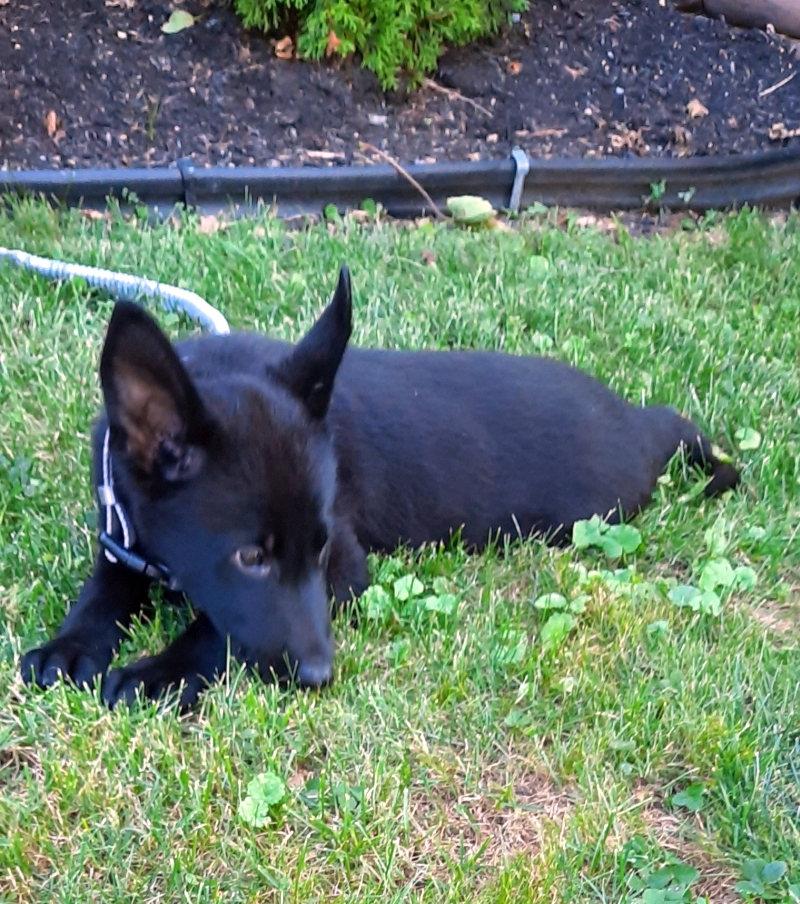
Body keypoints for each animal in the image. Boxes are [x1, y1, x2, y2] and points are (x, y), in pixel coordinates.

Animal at [20, 264, 736, 708]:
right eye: (250, 557)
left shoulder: (346, 568)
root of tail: (631, 415)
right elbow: (108, 583)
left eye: (320, 548)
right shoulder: (122, 532)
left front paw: (159, 672)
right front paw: (71, 644)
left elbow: (216, 630)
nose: (319, 676)